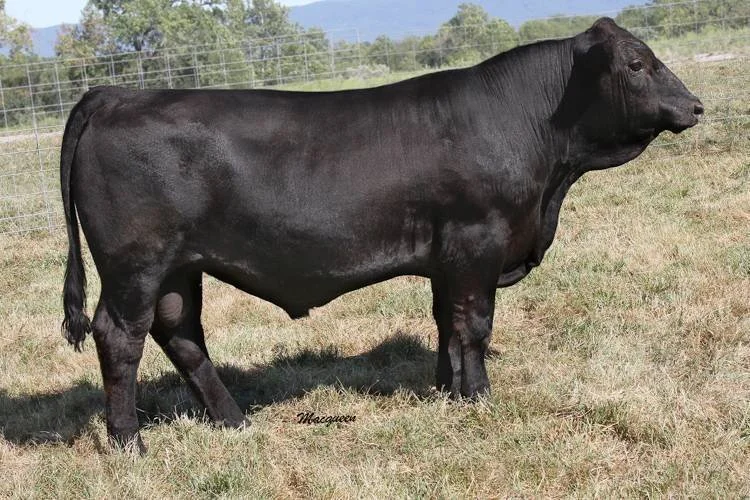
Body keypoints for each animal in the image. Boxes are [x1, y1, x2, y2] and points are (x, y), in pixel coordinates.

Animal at [60, 18, 702, 452]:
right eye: (638, 64)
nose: (695, 105)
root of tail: (115, 93)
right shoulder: (478, 241)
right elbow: (474, 325)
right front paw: (478, 399)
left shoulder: (448, 256)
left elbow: (446, 323)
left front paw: (446, 391)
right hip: (135, 264)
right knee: (120, 337)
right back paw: (129, 442)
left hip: (177, 266)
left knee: (180, 333)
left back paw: (234, 420)